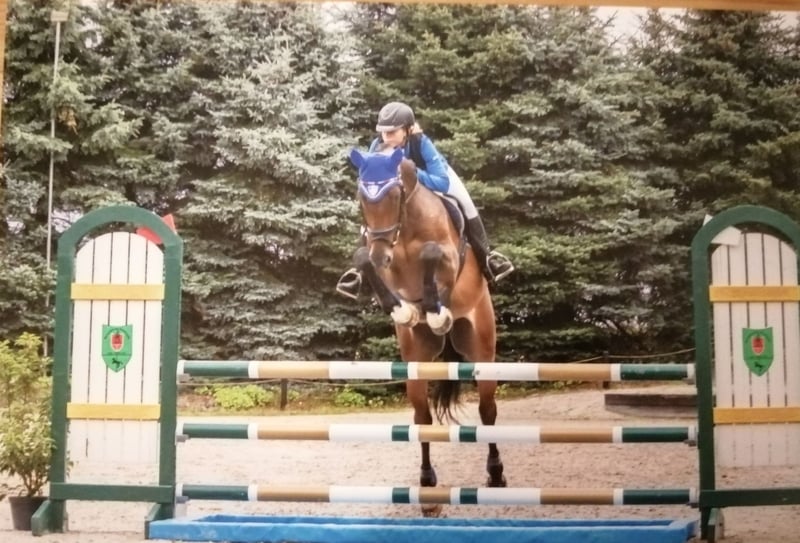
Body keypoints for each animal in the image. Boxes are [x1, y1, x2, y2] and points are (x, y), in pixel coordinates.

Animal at [347, 145, 507, 516]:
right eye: (362, 197)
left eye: (394, 195)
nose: (382, 251)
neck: (405, 228)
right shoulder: (386, 264)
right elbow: (364, 259)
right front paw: (402, 309)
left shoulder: (448, 257)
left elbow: (433, 254)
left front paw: (435, 310)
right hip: (416, 360)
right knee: (422, 418)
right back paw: (427, 485)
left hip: (481, 346)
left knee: (487, 410)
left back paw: (495, 474)